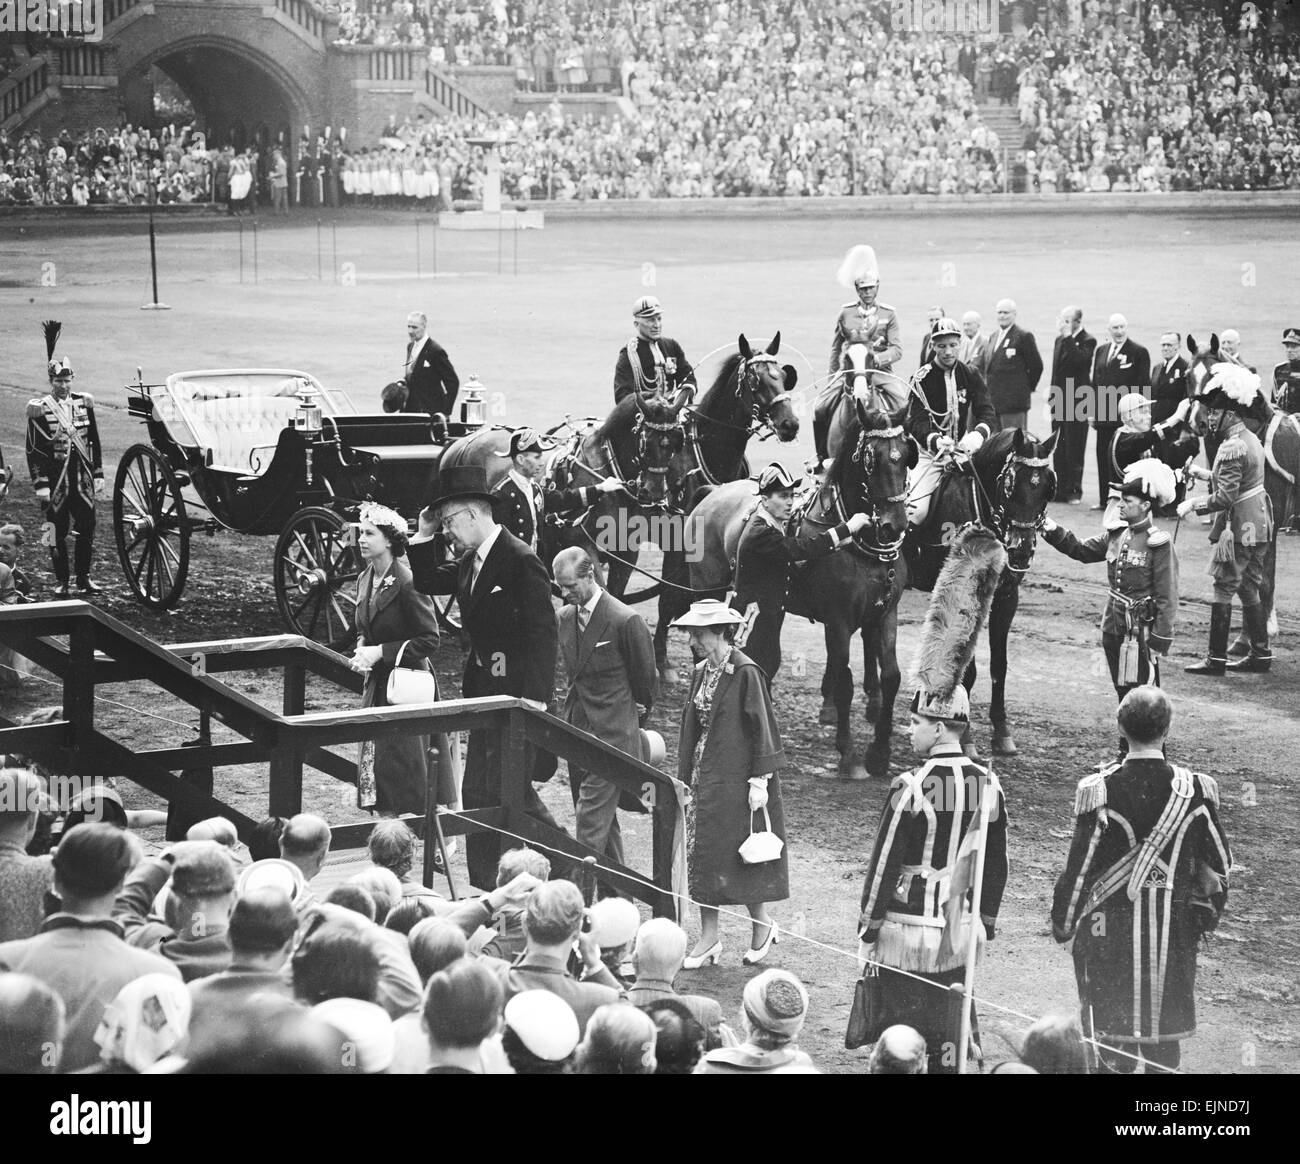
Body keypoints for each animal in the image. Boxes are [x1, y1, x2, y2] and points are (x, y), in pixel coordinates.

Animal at [686, 400, 909, 780]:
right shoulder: (838, 622)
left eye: (906, 455)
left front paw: (880, 753)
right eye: (872, 459)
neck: (862, 550)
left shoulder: (884, 615)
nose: (895, 525)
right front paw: (849, 755)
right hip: (707, 589)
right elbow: (844, 682)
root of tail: (714, 493)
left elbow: (892, 677)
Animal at [857, 423, 1060, 759]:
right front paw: (966, 739)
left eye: (1047, 487)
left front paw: (1001, 730)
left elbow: (1000, 666)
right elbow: (968, 669)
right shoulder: (963, 595)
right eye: (1010, 484)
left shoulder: (1007, 597)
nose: (1021, 550)